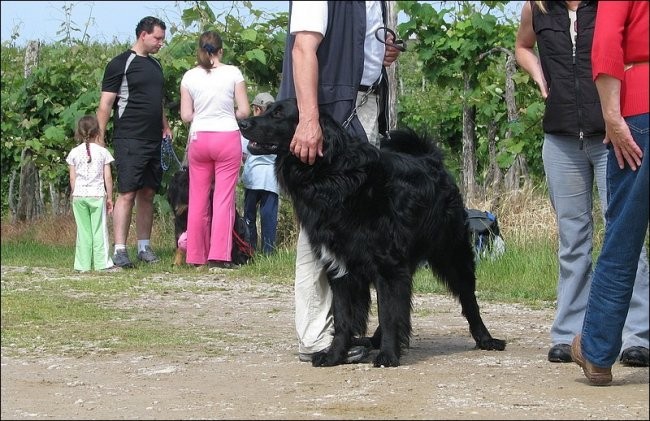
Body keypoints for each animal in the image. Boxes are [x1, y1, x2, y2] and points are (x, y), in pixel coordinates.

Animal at [239, 98, 506, 368]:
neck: (332, 176)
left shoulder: (388, 265)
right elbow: (344, 318)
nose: (242, 123)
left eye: (279, 114)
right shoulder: (340, 268)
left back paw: (486, 339)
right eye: (268, 110)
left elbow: (387, 313)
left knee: (468, 300)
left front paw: (388, 355)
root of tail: (431, 160)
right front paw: (335, 355)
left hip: (451, 253)